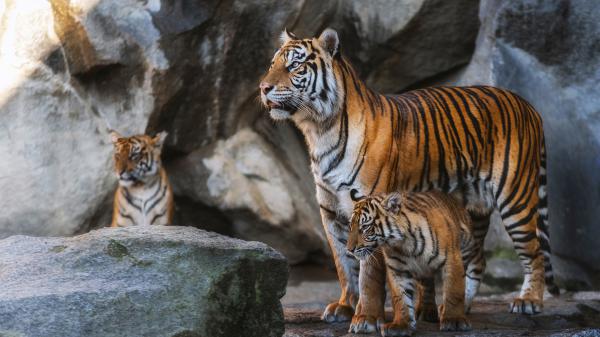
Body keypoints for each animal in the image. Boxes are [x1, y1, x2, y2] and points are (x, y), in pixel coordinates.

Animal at [346, 189, 488, 334]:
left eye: (365, 227)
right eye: (350, 226)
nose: (349, 249)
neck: (404, 243)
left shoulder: (452, 260)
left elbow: (454, 292)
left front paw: (454, 320)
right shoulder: (398, 269)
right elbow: (401, 298)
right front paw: (401, 324)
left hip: (467, 251)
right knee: (427, 286)